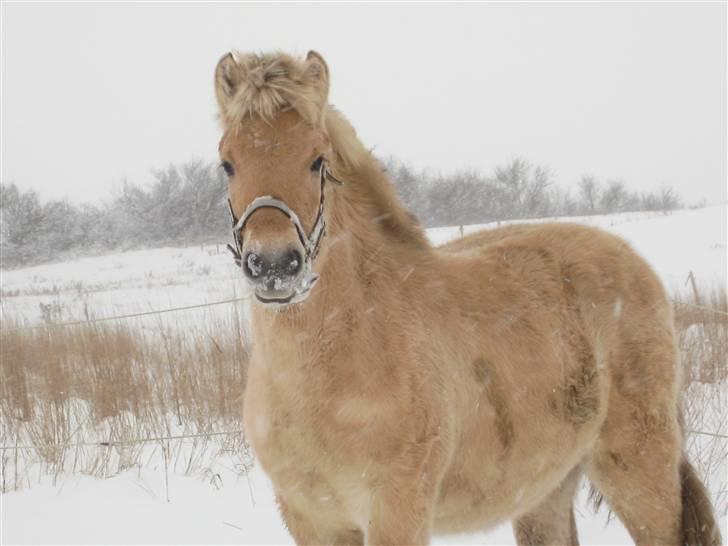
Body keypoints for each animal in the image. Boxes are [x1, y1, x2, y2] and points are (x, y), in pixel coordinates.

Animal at [213, 49, 720, 540]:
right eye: (227, 163)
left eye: (317, 160)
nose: (274, 266)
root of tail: (634, 260)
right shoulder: (311, 518)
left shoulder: (397, 511)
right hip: (545, 487)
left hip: (637, 467)